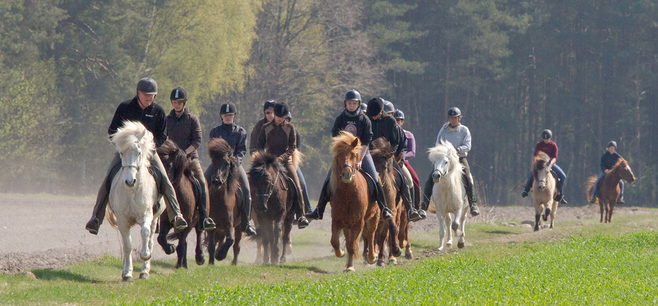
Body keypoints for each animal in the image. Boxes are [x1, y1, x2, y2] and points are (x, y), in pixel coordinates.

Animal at [105, 120, 163, 282]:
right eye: (121, 153)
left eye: (139, 153)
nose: (130, 181)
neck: (132, 192)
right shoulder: (123, 220)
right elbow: (127, 246)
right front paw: (127, 273)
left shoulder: (147, 215)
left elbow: (144, 233)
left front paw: (145, 256)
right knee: (126, 244)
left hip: (155, 219)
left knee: (150, 240)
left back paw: (145, 271)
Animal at [155, 140, 204, 268]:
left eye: (171, 165)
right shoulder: (166, 222)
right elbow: (161, 238)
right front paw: (170, 248)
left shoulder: (187, 224)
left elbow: (181, 245)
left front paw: (178, 267)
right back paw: (184, 264)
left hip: (197, 221)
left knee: (199, 233)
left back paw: (199, 257)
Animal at [328, 131, 380, 270]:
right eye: (338, 156)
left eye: (352, 155)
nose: (347, 174)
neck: (348, 193)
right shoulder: (337, 220)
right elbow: (335, 241)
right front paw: (341, 253)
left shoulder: (358, 222)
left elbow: (352, 245)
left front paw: (350, 267)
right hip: (347, 224)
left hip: (375, 216)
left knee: (371, 234)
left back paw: (372, 257)